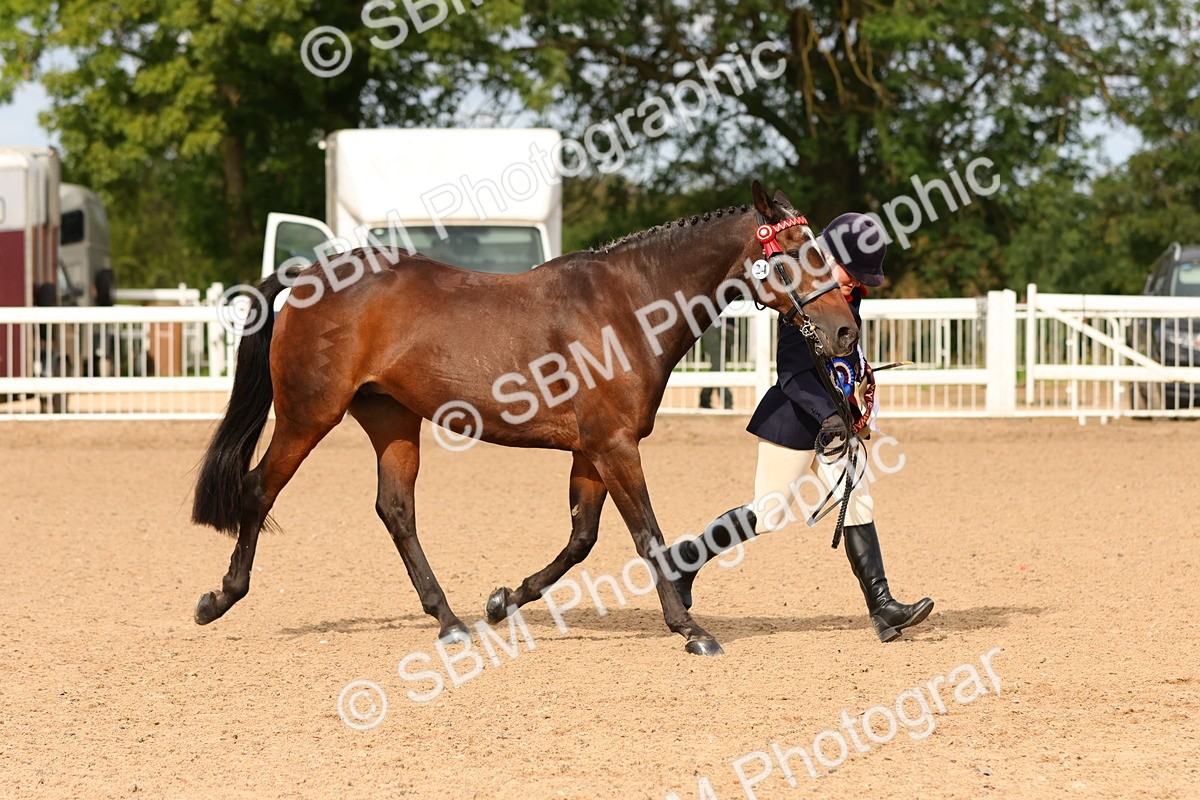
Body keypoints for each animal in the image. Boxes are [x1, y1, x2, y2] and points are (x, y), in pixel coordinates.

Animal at [190, 181, 860, 655]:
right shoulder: (615, 446)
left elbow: (582, 539)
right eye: (795, 252)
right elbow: (646, 532)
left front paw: (503, 600)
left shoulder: (591, 450)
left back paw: (450, 620)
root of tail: (310, 275)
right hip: (307, 416)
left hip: (392, 421)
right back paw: (219, 598)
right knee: (259, 489)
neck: (627, 306)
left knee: (396, 510)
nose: (845, 332)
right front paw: (690, 629)